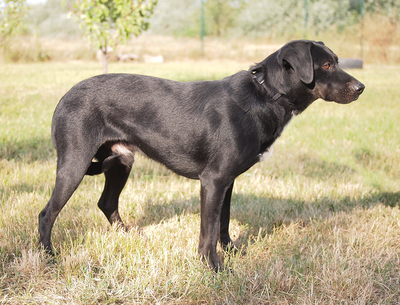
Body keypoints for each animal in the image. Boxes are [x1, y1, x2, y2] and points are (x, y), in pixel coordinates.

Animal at [39, 39, 364, 268]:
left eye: (336, 62)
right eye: (326, 66)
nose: (361, 87)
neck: (265, 95)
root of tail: (63, 98)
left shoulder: (227, 181)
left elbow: (224, 222)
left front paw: (231, 252)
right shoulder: (213, 180)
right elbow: (207, 231)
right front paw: (214, 268)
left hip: (122, 160)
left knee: (106, 203)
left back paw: (130, 236)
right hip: (75, 163)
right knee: (47, 214)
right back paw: (48, 256)